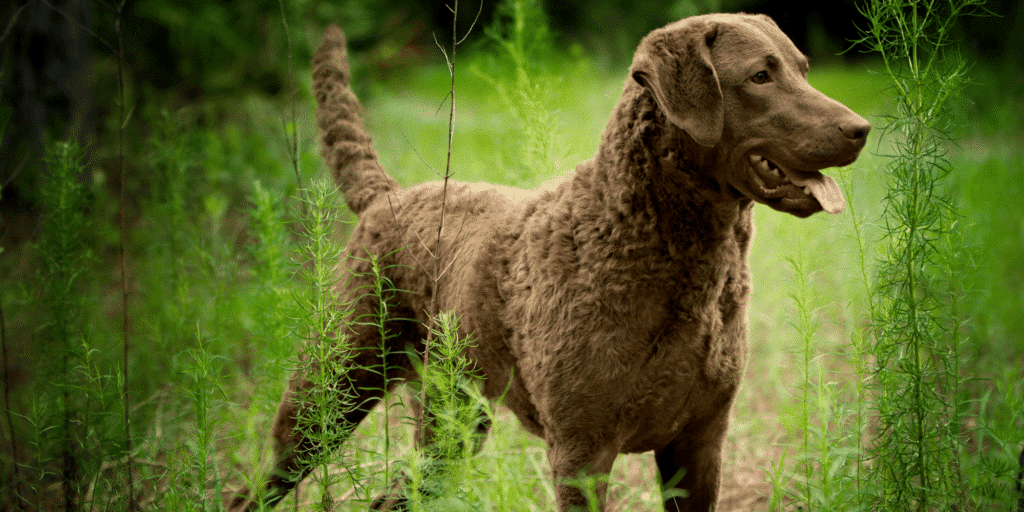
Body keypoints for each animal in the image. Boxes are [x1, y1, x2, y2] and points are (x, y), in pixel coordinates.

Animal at [228, 12, 868, 512]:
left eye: (803, 69)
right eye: (760, 76)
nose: (861, 128)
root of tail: (388, 197)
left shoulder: (700, 444)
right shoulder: (581, 451)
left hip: (452, 420)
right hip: (331, 388)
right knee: (256, 488)